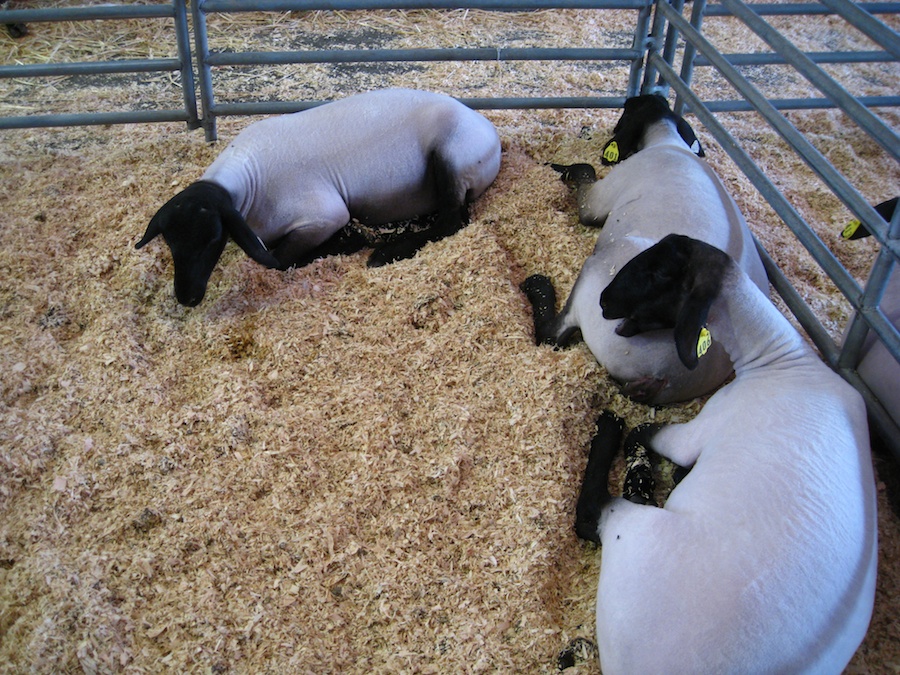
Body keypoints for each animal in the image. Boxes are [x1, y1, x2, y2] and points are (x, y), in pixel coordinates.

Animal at [134, 87, 502, 306]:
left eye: (212, 239)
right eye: (170, 241)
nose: (187, 297)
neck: (248, 183)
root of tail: (490, 132)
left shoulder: (323, 215)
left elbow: (280, 259)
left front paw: (350, 241)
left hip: (452, 155)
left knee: (453, 219)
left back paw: (385, 252)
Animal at [520, 92, 768, 404]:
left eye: (627, 109)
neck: (667, 140)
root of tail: (663, 378)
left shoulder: (599, 199)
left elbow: (586, 172)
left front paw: (556, 167)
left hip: (600, 274)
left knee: (551, 336)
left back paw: (537, 287)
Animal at [572, 234, 876, 675]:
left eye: (659, 273)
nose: (604, 300)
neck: (782, 361)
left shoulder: (705, 424)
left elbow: (651, 434)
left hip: (634, 530)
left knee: (592, 512)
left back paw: (609, 429)